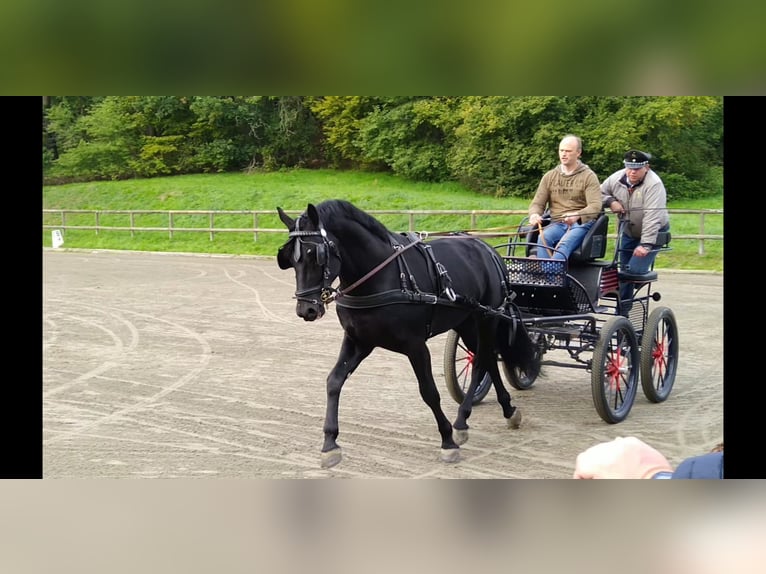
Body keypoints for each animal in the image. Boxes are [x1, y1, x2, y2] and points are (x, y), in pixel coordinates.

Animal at [280, 200, 536, 470]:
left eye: (314, 254)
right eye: (290, 259)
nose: (306, 310)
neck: (383, 275)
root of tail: (487, 249)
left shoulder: (416, 346)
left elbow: (429, 391)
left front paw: (447, 441)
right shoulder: (359, 341)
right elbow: (334, 381)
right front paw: (330, 443)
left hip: (487, 318)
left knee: (482, 360)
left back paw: (464, 420)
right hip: (467, 323)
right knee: (486, 358)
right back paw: (502, 411)